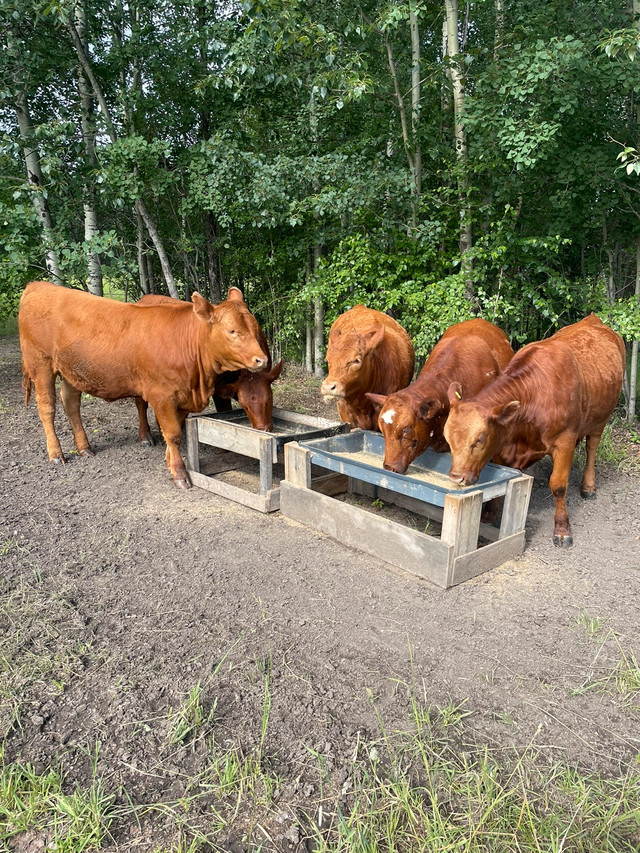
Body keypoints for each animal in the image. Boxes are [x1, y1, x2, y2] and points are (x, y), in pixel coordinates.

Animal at [442, 312, 624, 544]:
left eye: (479, 439)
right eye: (447, 439)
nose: (457, 477)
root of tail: (593, 319)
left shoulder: (564, 441)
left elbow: (559, 485)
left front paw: (562, 528)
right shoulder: (502, 444)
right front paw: (489, 516)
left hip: (601, 418)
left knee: (592, 447)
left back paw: (588, 486)